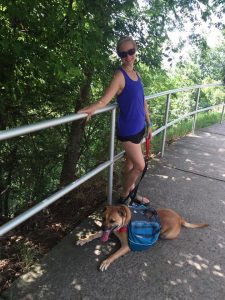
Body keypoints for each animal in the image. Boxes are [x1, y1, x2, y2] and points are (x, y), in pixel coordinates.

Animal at [76, 204, 208, 272]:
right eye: (103, 218)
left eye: (112, 220)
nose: (103, 228)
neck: (125, 222)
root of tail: (180, 219)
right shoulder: (108, 232)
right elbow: (93, 234)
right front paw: (84, 239)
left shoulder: (126, 246)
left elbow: (113, 255)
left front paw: (106, 261)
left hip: (165, 234)